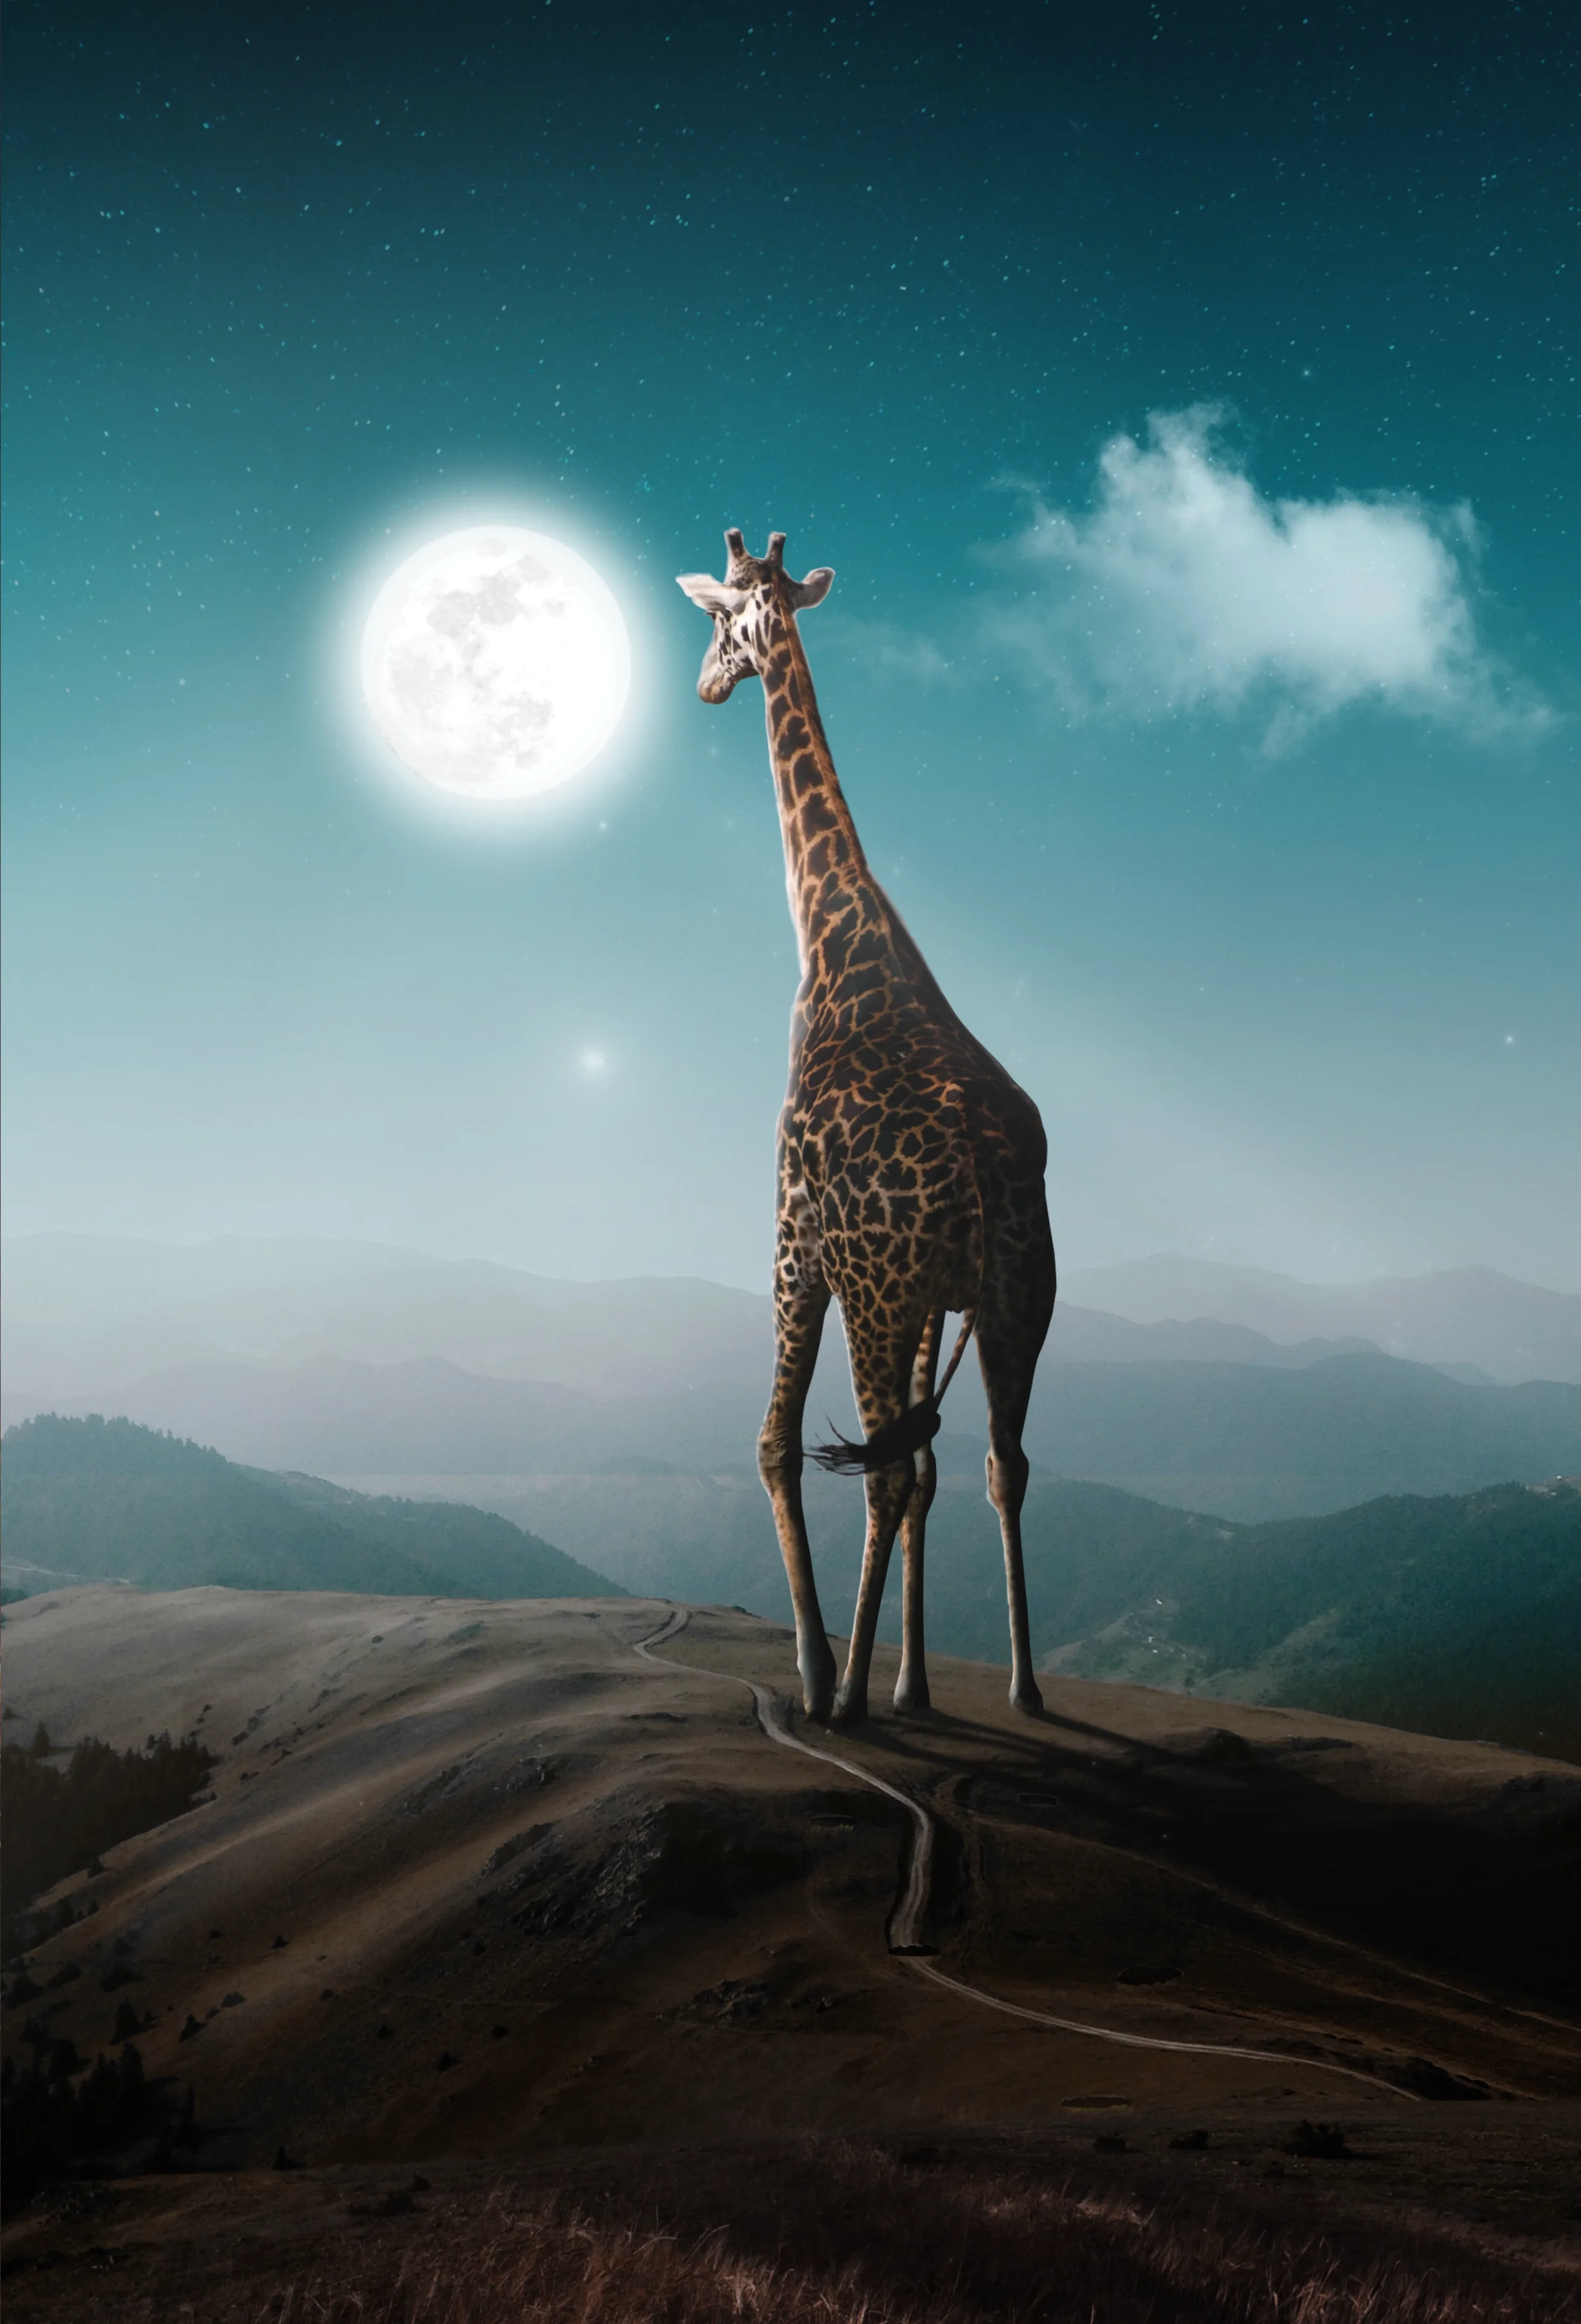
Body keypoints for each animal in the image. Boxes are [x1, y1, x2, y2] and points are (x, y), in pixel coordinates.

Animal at [678, 530, 1056, 1729]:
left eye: (718, 620)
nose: (706, 682)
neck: (834, 939)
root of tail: (984, 1170)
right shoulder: (943, 1296)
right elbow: (936, 1474)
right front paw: (914, 1680)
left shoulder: (795, 1241)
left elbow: (773, 1445)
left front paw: (818, 1670)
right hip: (1019, 1301)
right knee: (999, 1462)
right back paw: (1023, 1686)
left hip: (878, 1296)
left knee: (885, 1464)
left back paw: (840, 1694)